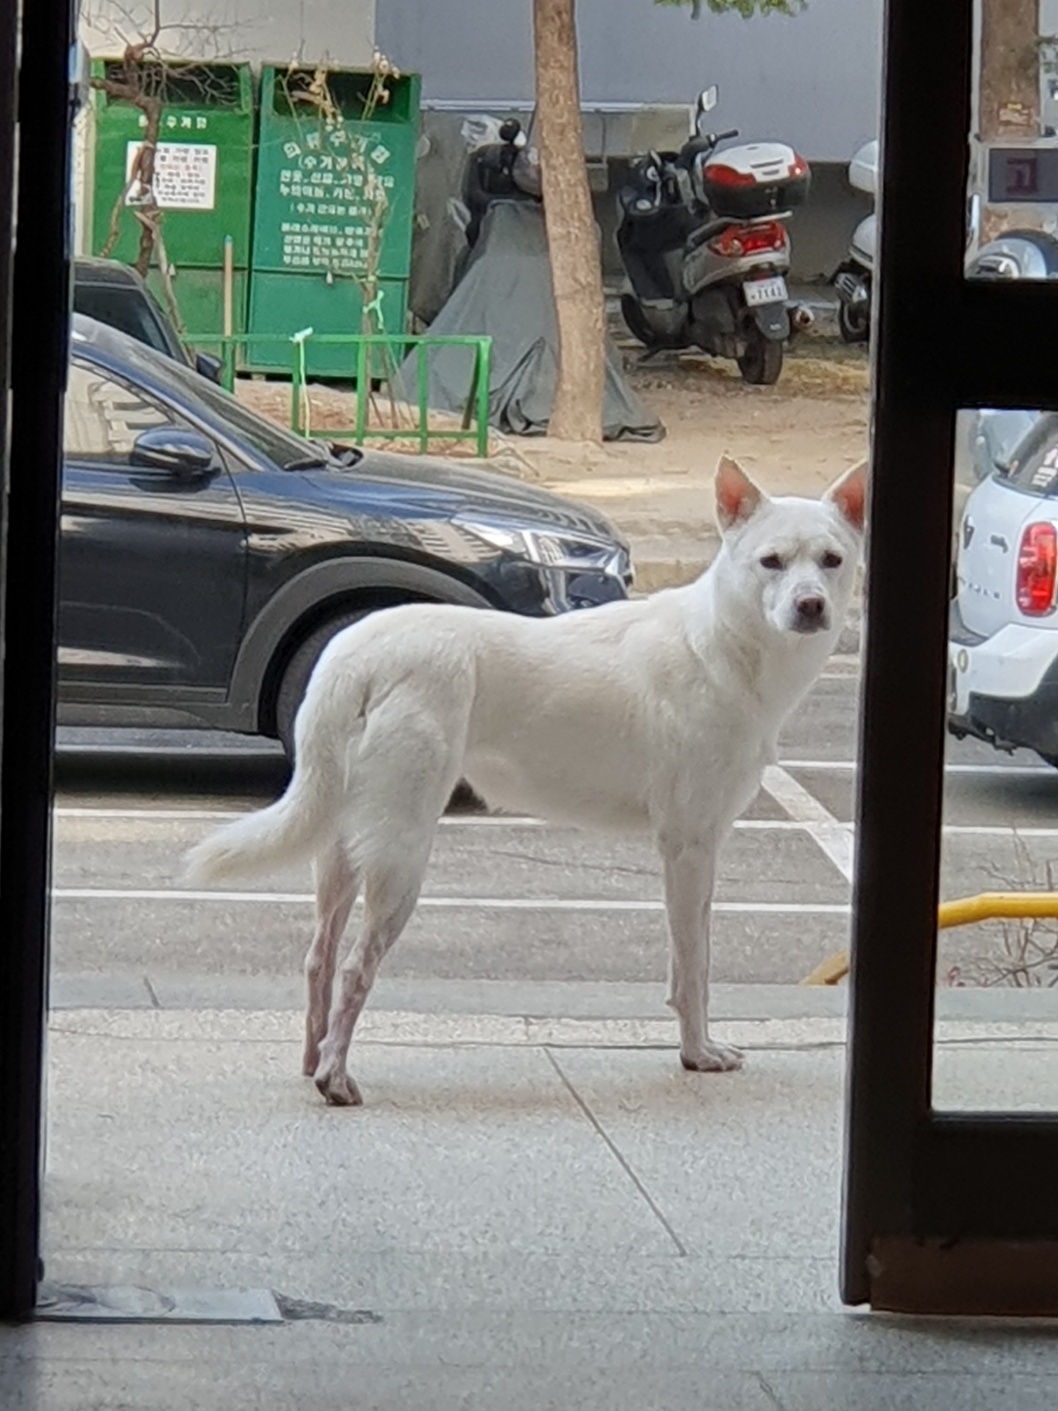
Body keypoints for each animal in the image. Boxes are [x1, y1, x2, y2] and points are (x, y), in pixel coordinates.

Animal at [186, 456, 866, 1106]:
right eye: (770, 562)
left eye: (831, 561)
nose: (811, 606)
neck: (723, 643)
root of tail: (357, 654)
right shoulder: (690, 846)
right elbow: (693, 966)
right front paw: (697, 1054)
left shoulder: (693, 849)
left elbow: (687, 963)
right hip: (400, 857)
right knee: (356, 967)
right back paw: (335, 1079)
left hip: (343, 848)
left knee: (319, 958)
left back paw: (314, 1059)